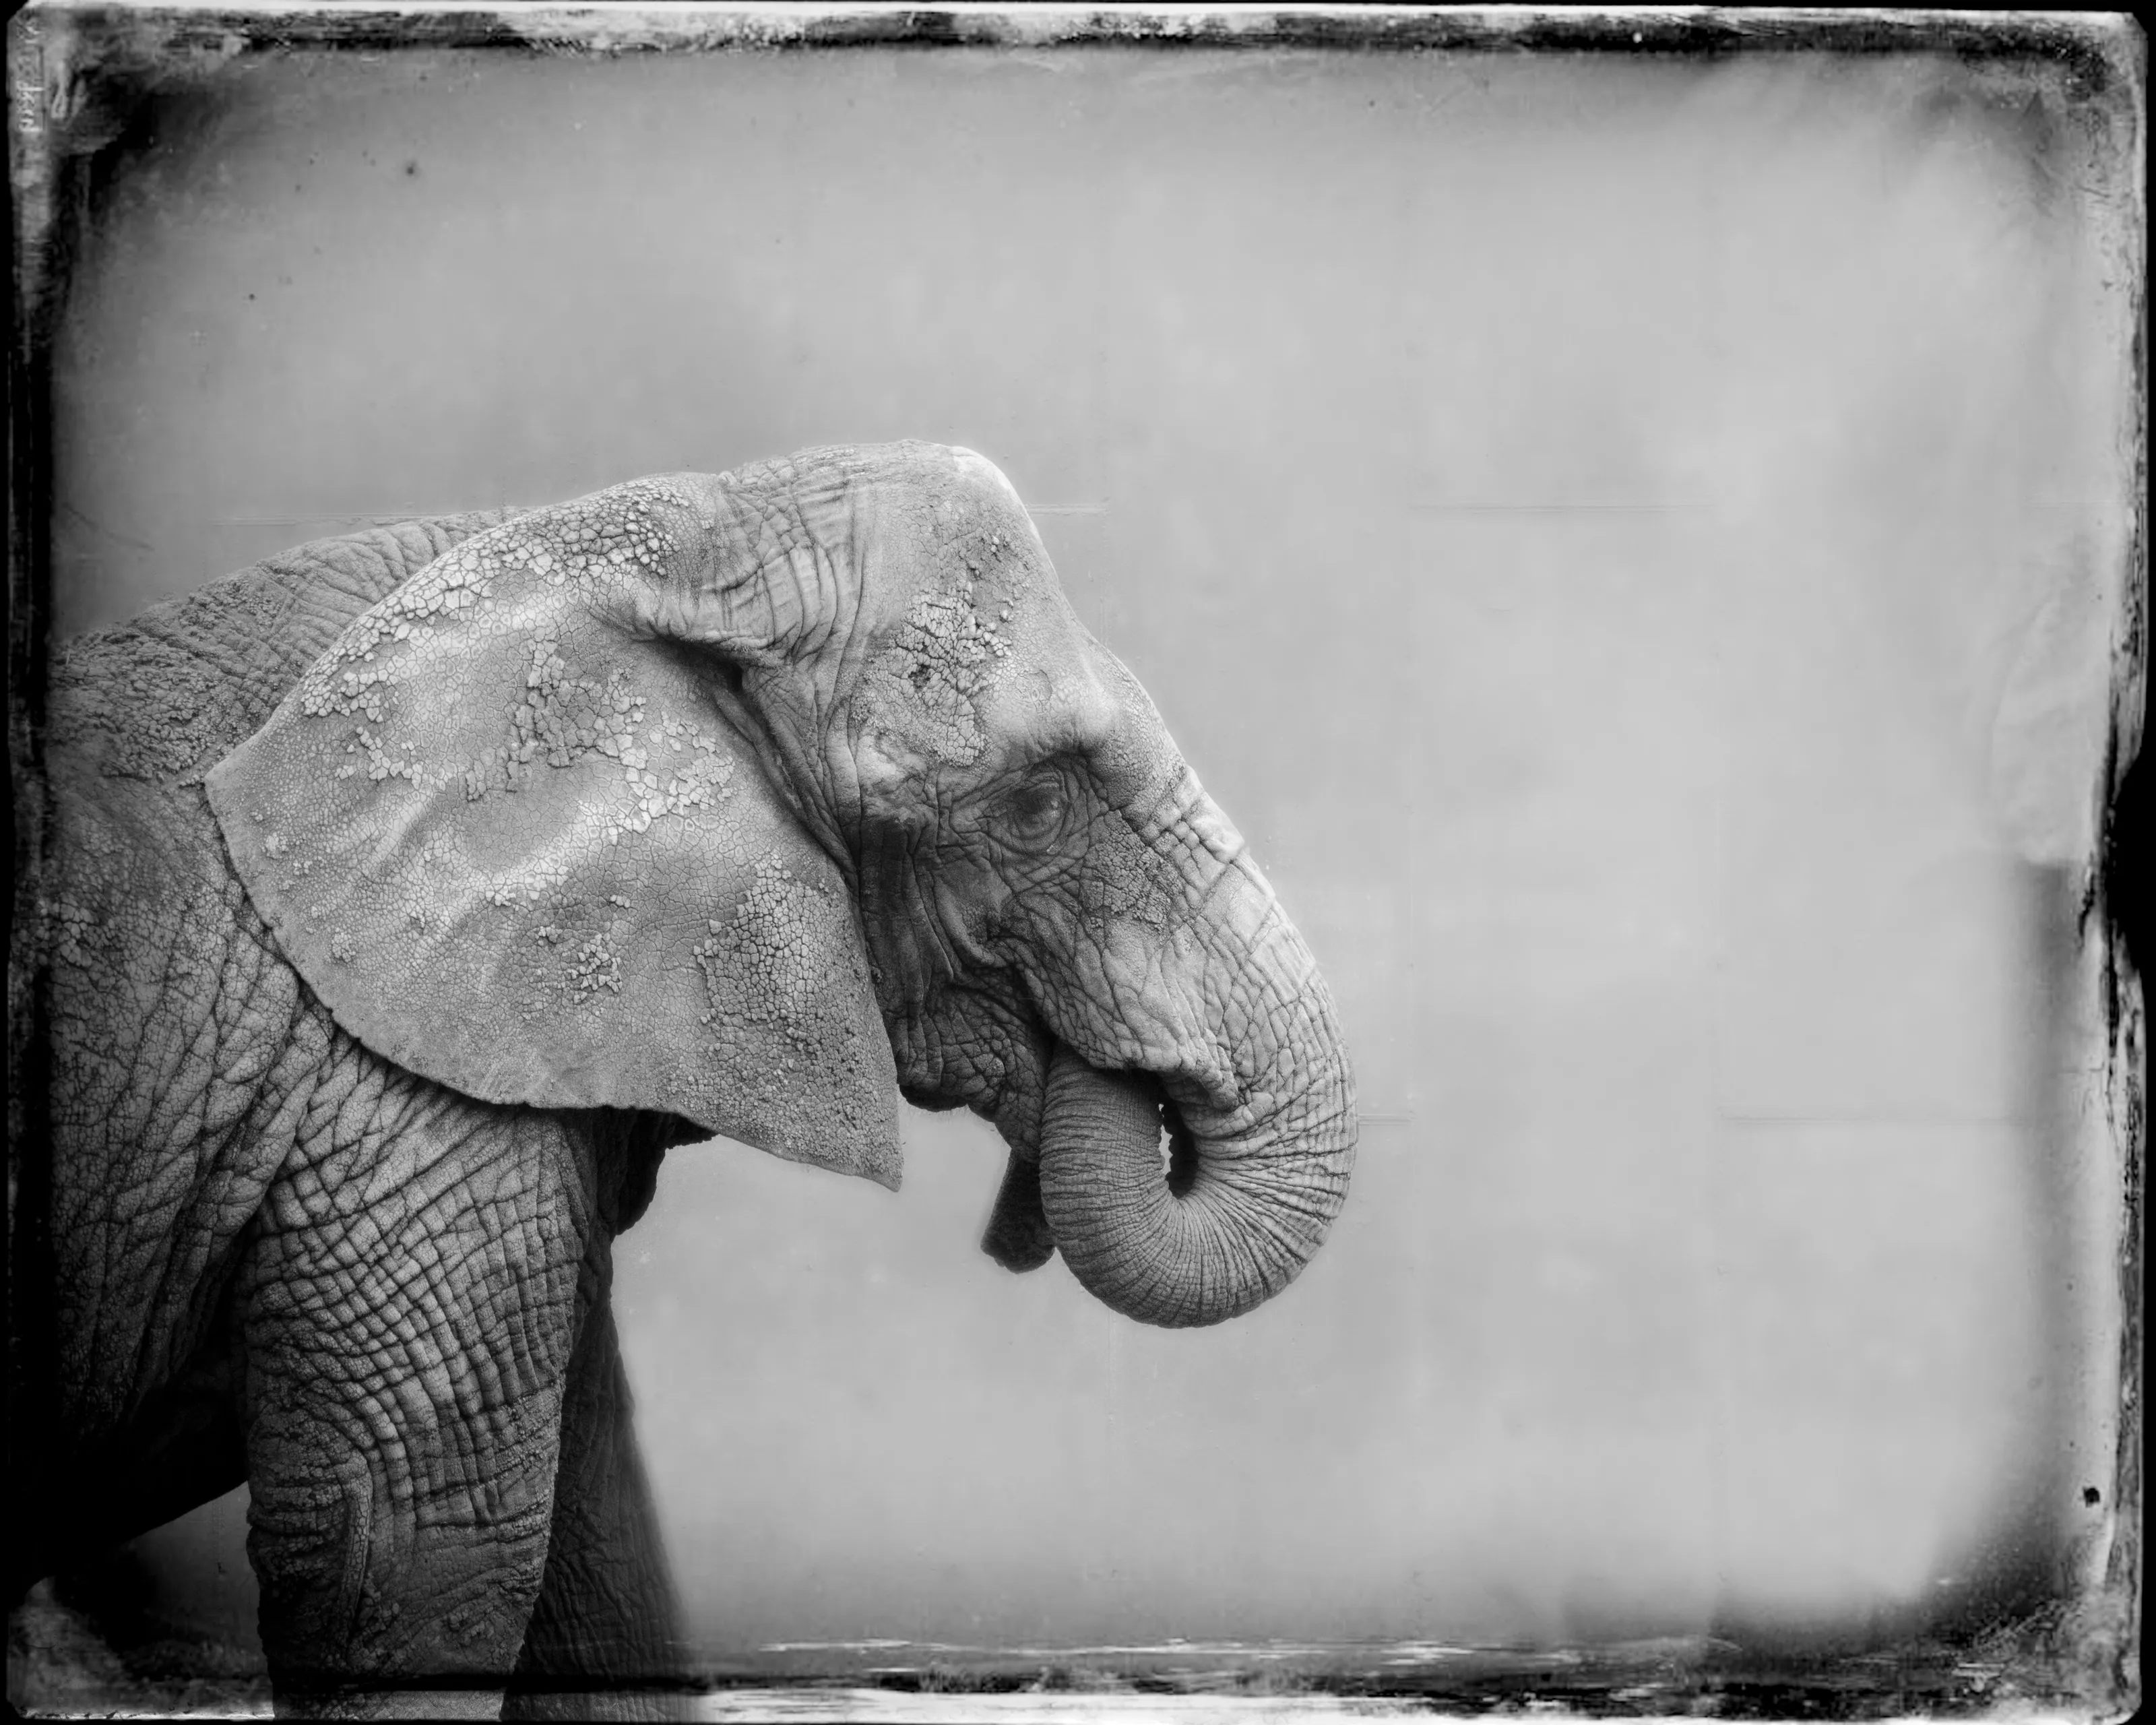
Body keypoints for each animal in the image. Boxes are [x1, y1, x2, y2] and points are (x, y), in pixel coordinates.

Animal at [9, 441, 1357, 1717]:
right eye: (1035, 806)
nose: (1115, 1062)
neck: (663, 540)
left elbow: (592, 1555)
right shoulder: (393, 1101)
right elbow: (414, 1564)